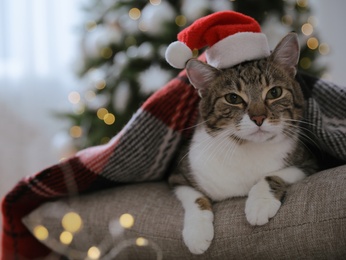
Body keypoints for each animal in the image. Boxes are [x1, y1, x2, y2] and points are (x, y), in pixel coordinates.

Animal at [169, 32, 318, 254]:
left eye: (274, 92)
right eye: (233, 98)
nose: (258, 118)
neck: (246, 147)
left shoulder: (309, 163)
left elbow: (273, 175)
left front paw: (260, 203)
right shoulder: (179, 174)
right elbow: (194, 196)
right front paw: (197, 233)